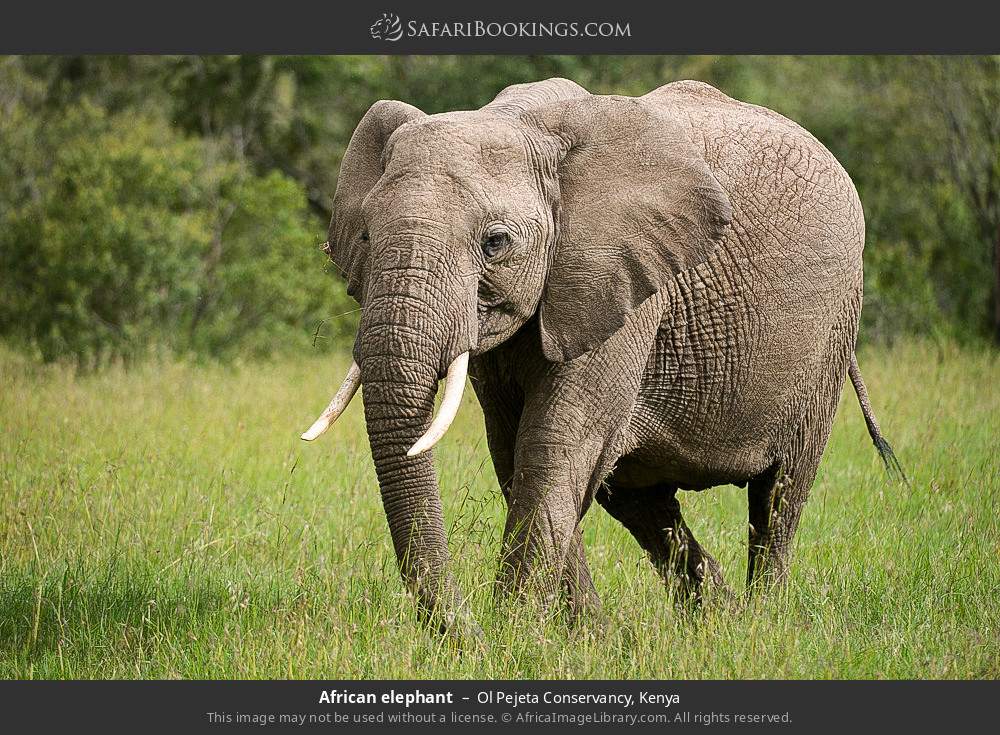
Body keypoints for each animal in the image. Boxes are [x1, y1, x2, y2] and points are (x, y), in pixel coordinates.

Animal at [301, 77, 902, 635]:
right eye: (366, 236)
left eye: (495, 243)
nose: (464, 628)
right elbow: (516, 454)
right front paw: (582, 637)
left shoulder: (624, 284)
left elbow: (552, 447)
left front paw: (513, 634)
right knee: (642, 502)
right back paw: (716, 623)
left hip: (832, 331)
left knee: (780, 494)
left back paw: (760, 623)